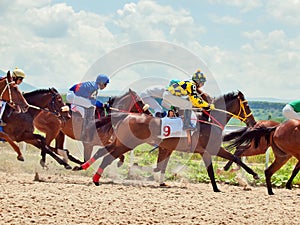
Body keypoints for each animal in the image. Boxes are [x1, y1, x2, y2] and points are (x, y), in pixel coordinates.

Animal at [74, 90, 258, 192]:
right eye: (247, 105)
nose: (253, 122)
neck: (209, 121)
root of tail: (126, 116)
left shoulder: (173, 148)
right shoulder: (209, 150)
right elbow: (220, 165)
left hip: (121, 142)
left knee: (102, 152)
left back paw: (84, 167)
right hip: (127, 143)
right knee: (107, 157)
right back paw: (95, 178)